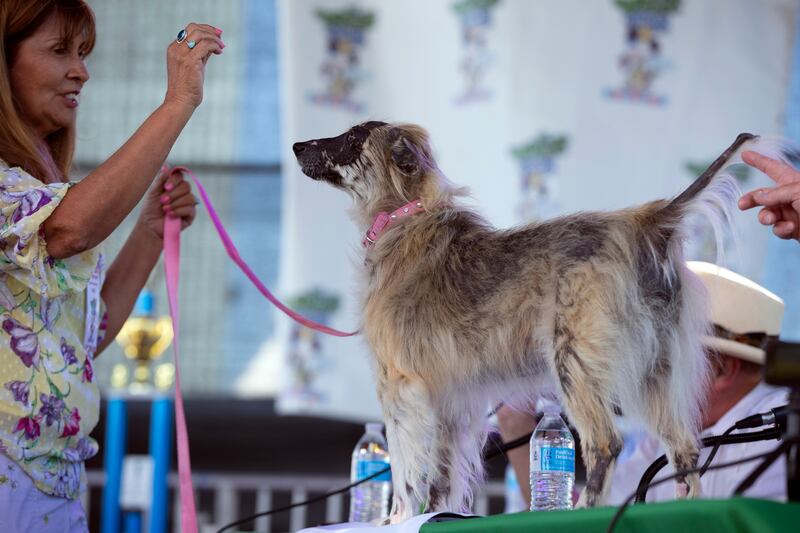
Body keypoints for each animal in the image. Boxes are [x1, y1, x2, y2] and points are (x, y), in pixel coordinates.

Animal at [292, 121, 788, 524]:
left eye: (352, 137)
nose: (296, 145)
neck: (403, 216)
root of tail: (648, 222)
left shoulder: (399, 386)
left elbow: (404, 468)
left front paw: (395, 519)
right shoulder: (451, 399)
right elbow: (442, 475)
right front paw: (433, 513)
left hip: (575, 360)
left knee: (606, 443)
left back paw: (586, 510)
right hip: (658, 372)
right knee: (685, 451)